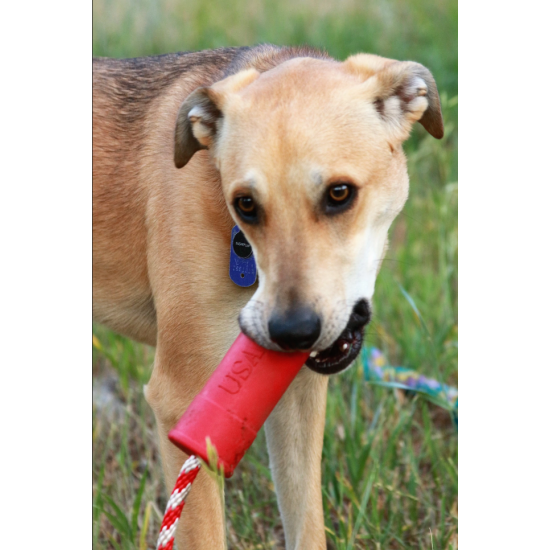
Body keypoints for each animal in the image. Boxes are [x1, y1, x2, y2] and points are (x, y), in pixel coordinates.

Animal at [91, 45, 444, 548]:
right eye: (245, 204)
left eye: (340, 193)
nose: (291, 332)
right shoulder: (181, 402)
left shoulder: (299, 396)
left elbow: (306, 524)